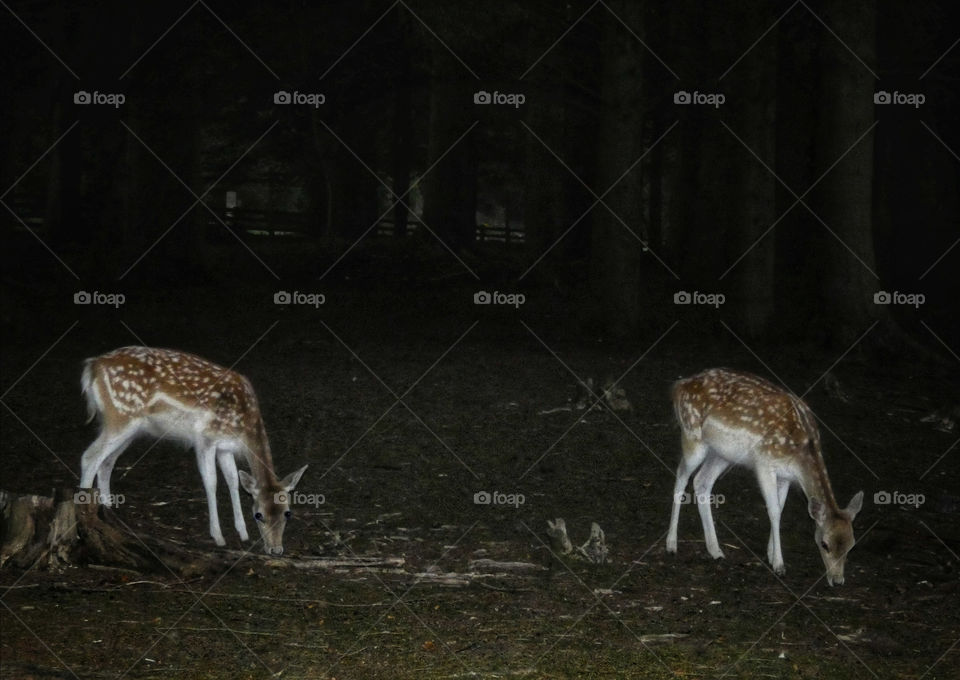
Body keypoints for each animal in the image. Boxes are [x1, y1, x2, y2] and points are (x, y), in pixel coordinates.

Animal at [79, 346, 308, 555]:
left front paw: (243, 533)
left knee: (106, 462)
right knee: (89, 457)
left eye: (288, 513)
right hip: (121, 416)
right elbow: (211, 482)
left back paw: (109, 513)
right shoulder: (205, 438)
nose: (276, 550)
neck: (244, 426)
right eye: (259, 515)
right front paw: (218, 536)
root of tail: (93, 366)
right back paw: (85, 518)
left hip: (129, 427)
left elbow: (233, 480)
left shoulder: (225, 447)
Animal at [665, 368, 863, 585]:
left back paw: (715, 550)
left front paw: (770, 553)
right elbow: (774, 510)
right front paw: (779, 564)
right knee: (681, 475)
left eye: (852, 545)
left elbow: (780, 508)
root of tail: (680, 386)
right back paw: (671, 544)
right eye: (824, 544)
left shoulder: (785, 476)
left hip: (722, 454)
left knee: (701, 481)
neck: (800, 452)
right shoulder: (765, 463)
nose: (837, 581)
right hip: (692, 436)